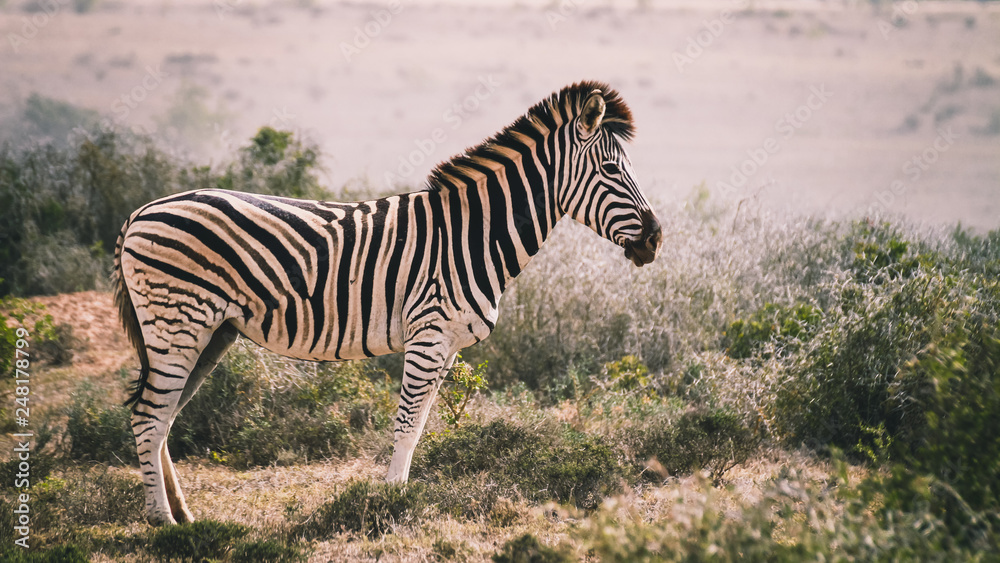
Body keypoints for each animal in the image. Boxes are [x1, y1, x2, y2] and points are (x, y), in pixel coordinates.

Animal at [113, 81, 662, 525]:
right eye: (611, 169)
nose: (656, 239)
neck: (473, 234)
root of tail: (141, 211)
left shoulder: (448, 345)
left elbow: (418, 428)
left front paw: (397, 497)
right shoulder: (429, 333)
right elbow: (405, 424)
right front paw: (392, 503)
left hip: (211, 331)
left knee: (163, 416)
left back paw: (184, 514)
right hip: (177, 321)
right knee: (148, 416)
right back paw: (162, 522)